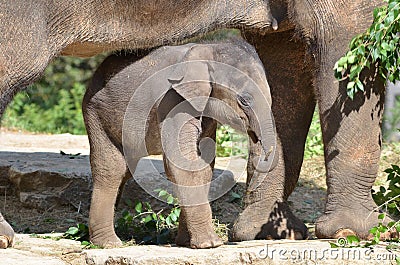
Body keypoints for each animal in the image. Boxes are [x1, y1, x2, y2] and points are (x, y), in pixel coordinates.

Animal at [83, 38, 278, 249]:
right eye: (244, 100)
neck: (207, 49)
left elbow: (204, 165)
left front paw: (187, 242)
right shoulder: (173, 101)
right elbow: (184, 162)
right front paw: (210, 244)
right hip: (97, 114)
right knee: (112, 169)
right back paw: (109, 244)